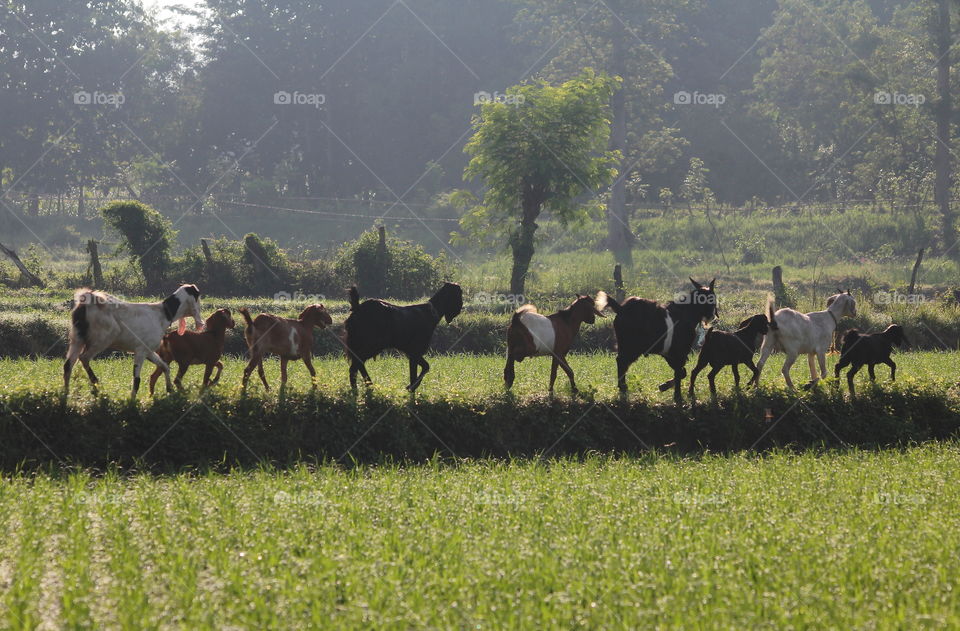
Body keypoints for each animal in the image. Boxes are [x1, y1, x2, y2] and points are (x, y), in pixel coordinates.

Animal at [63, 286, 202, 398]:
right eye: (198, 296)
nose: (201, 323)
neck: (162, 314)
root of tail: (87, 301)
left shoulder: (148, 351)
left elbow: (165, 367)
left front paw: (169, 389)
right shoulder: (140, 351)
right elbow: (137, 379)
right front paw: (132, 400)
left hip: (77, 339)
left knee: (68, 365)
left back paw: (66, 394)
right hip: (103, 338)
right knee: (84, 357)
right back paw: (96, 385)